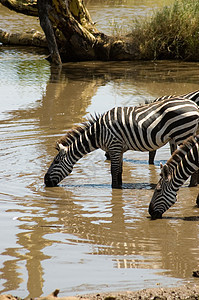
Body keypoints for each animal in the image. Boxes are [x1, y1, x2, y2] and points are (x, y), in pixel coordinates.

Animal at [44, 98, 199, 188]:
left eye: (56, 162)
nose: (45, 181)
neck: (98, 133)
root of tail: (194, 105)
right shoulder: (119, 149)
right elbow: (119, 171)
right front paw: (120, 186)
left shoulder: (114, 146)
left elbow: (114, 171)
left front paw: (115, 189)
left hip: (183, 134)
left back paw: (192, 185)